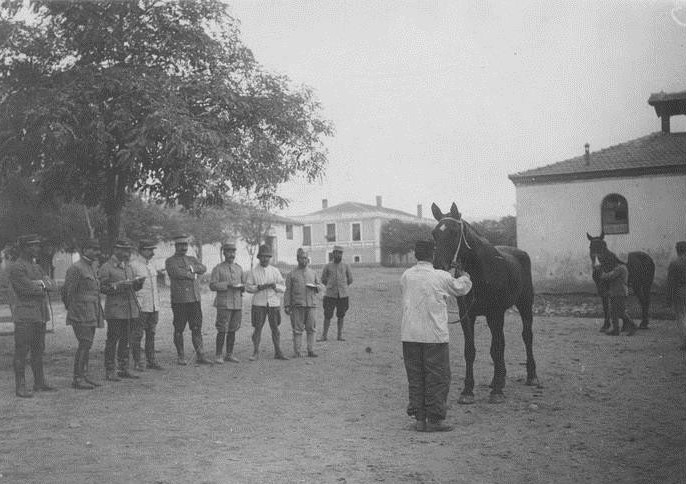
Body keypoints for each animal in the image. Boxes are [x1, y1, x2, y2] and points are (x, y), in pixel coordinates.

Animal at [432, 202, 540, 402]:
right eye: (434, 233)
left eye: (454, 232)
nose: (438, 267)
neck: (480, 271)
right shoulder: (467, 316)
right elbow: (470, 350)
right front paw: (468, 390)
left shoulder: (495, 313)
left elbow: (496, 348)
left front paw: (496, 392)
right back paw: (500, 379)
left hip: (525, 306)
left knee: (527, 336)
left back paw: (531, 376)